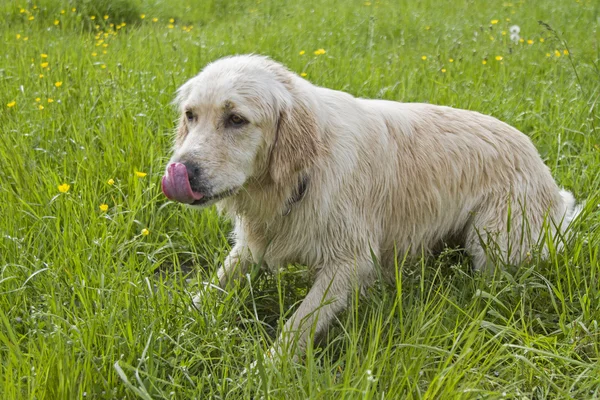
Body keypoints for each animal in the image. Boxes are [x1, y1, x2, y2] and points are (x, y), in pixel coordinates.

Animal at [161, 54, 580, 360]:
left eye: (236, 119)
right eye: (191, 115)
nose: (182, 170)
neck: (301, 174)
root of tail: (541, 167)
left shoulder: (348, 263)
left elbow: (298, 324)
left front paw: (265, 370)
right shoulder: (251, 246)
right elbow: (210, 289)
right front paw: (174, 324)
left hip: (493, 242)